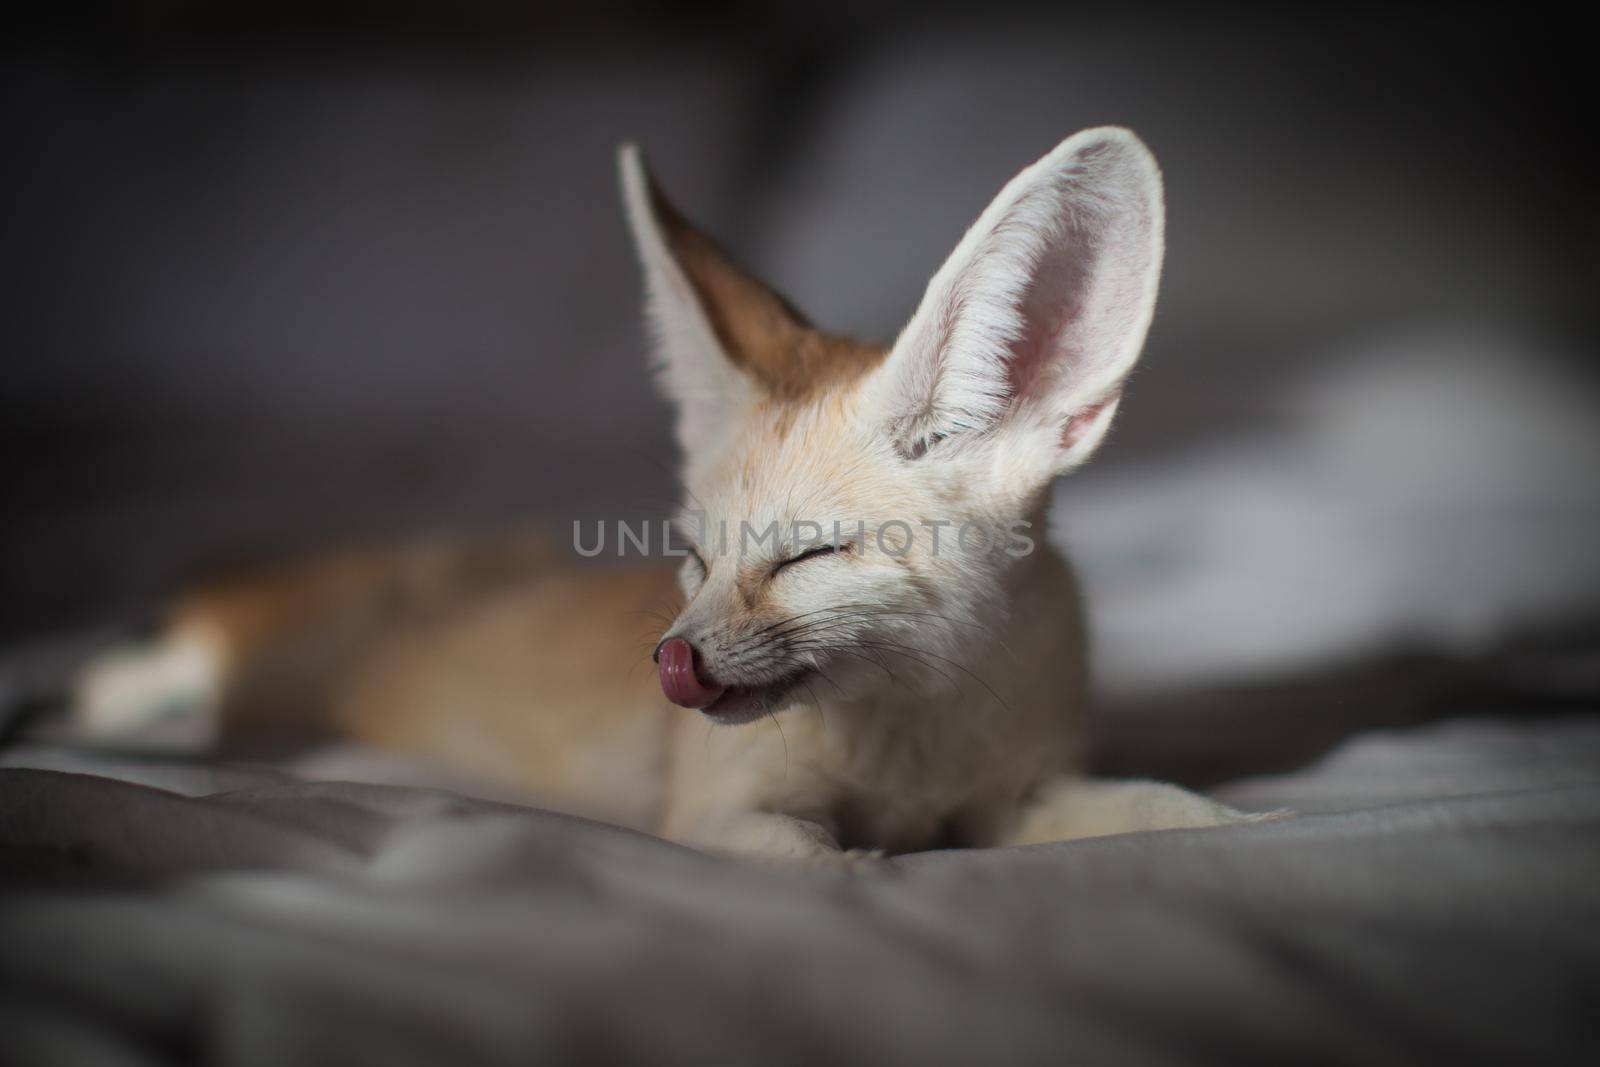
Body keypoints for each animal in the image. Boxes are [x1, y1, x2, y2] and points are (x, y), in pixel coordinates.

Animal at [78, 129, 1273, 863]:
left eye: (809, 555)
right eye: (695, 559)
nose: (668, 663)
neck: (912, 745)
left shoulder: (1019, 792)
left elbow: (1179, 811)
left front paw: (1259, 824)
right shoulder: (720, 814)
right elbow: (840, 865)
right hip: (261, 662)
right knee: (168, 654)